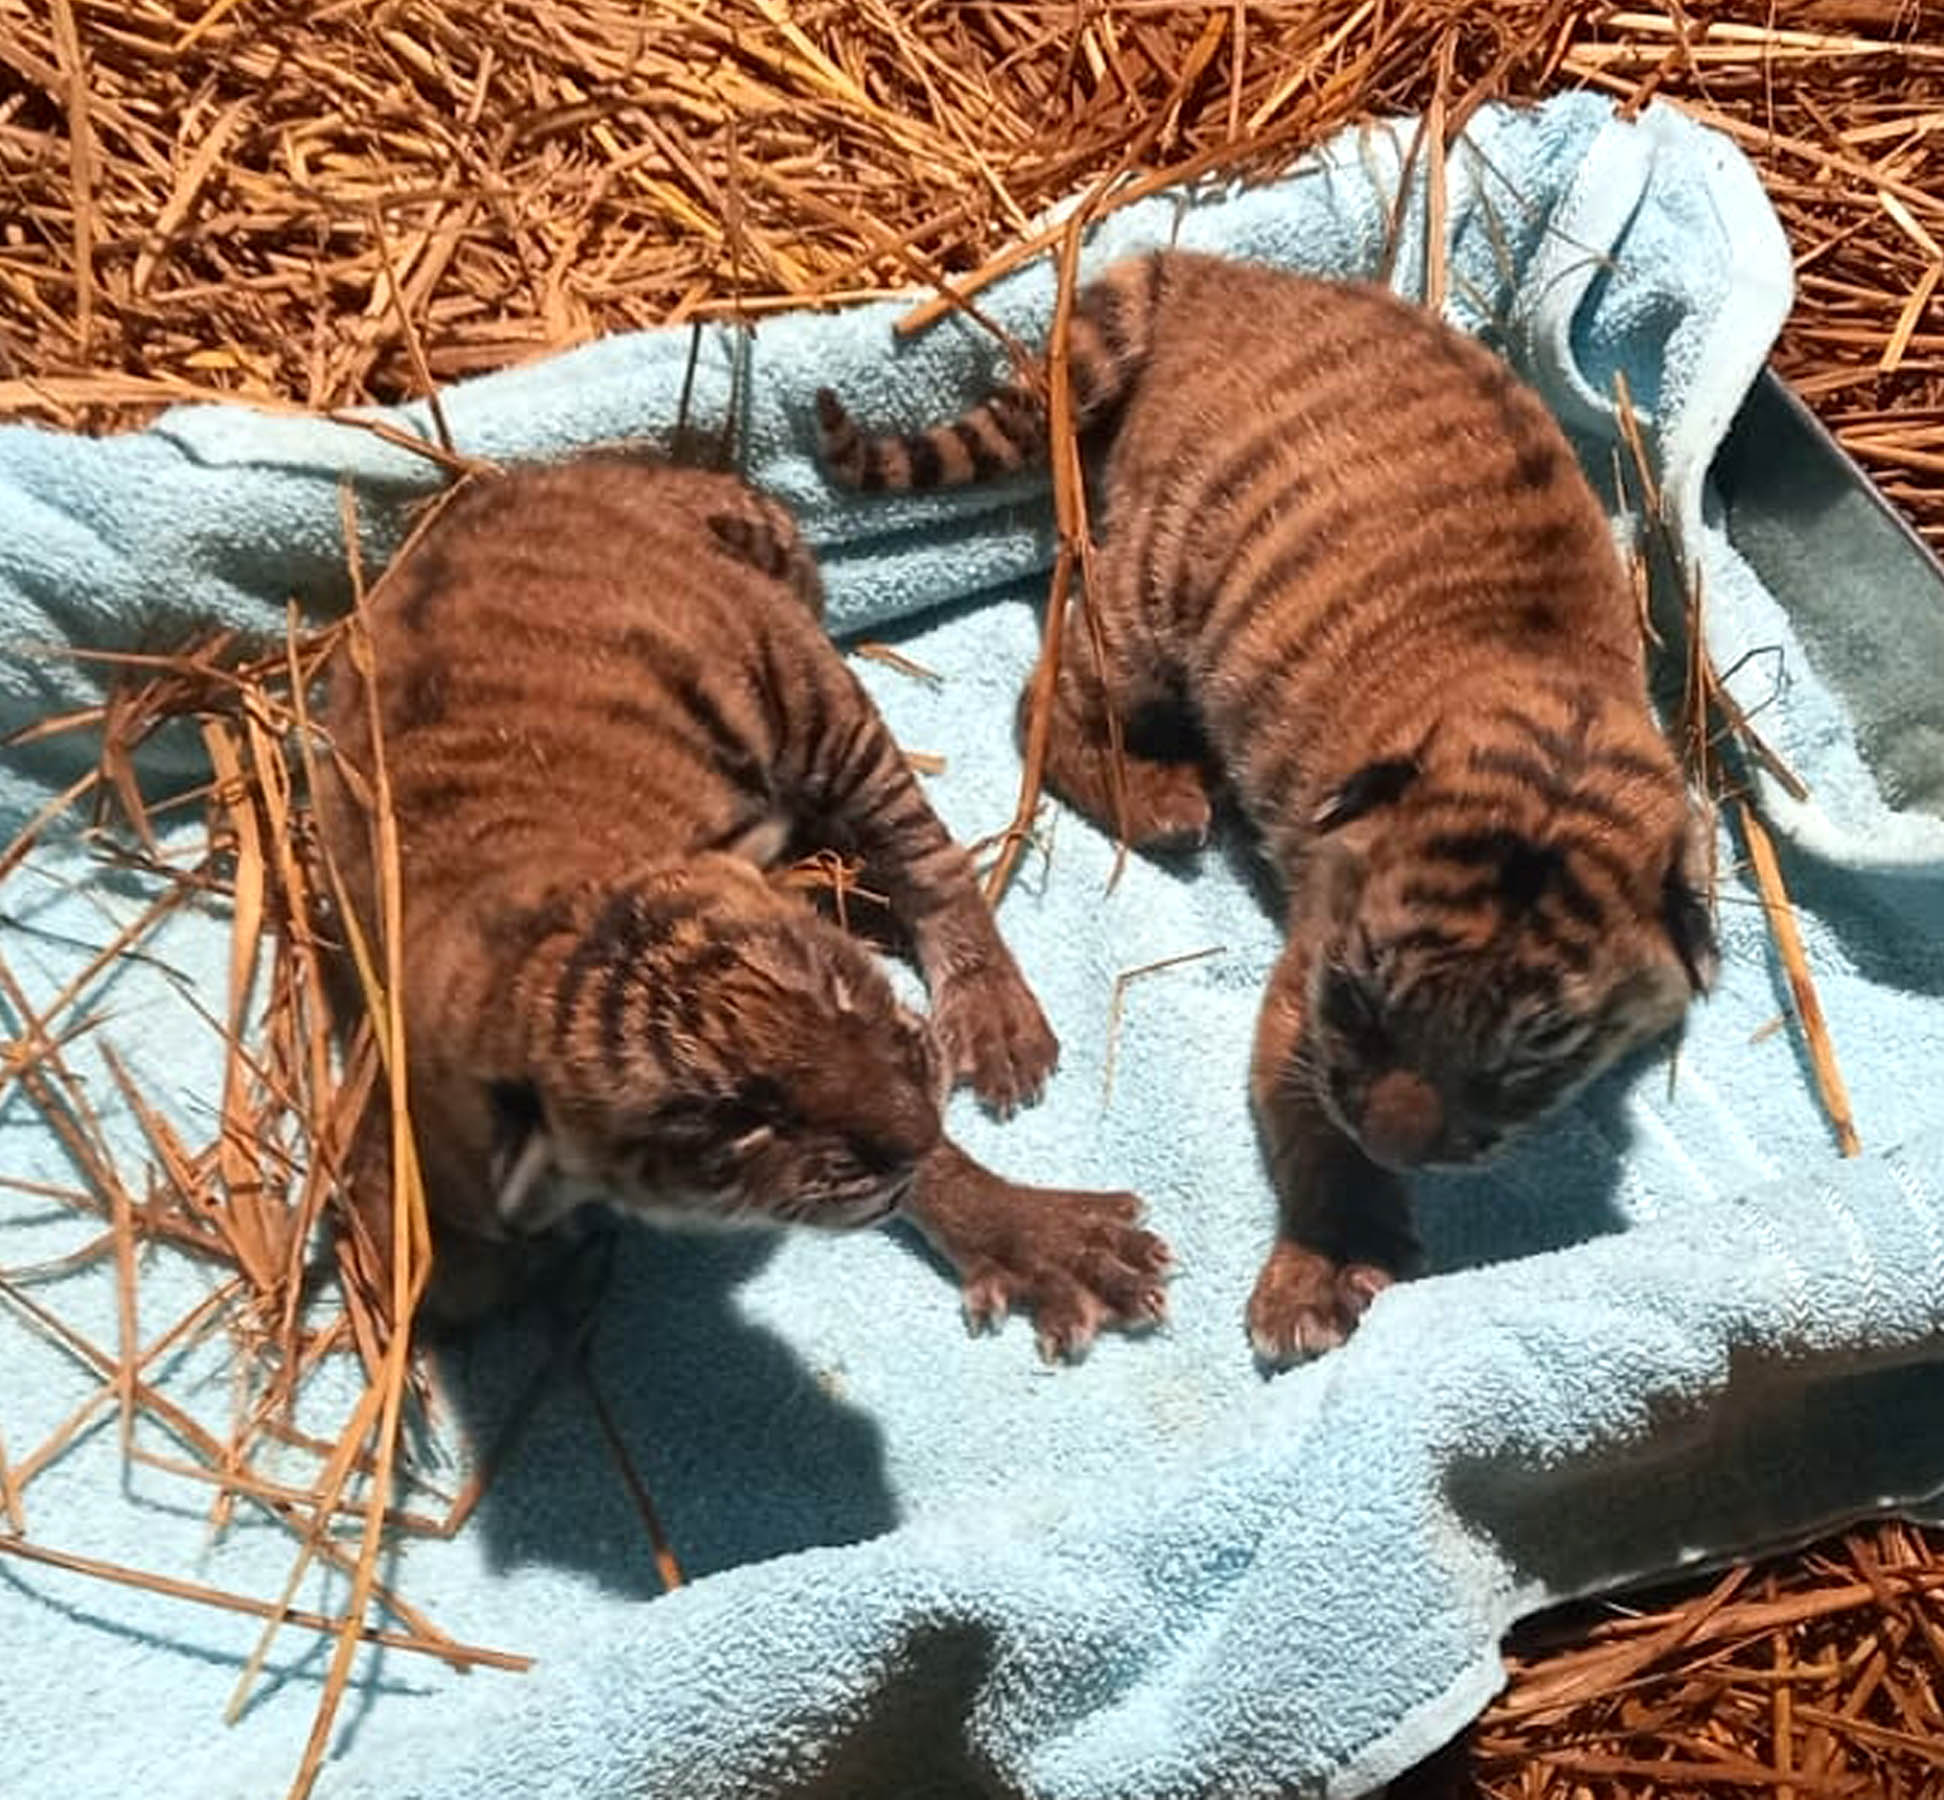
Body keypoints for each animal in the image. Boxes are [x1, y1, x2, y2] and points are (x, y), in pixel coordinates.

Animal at [312, 454, 1172, 1359]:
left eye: (839, 992)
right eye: (741, 1126)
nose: (918, 1126)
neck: (534, 939)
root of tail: (567, 474)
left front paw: (1043, 1237)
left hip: (804, 687)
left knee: (928, 858)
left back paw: (988, 1009)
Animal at [816, 249, 1716, 1364]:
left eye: (1531, 1056)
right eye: (1363, 1002)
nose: (1395, 1143)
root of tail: (1211, 272)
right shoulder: (1308, 989)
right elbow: (1313, 1127)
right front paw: (1320, 1274)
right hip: (1150, 591)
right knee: (1043, 704)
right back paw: (1164, 800)